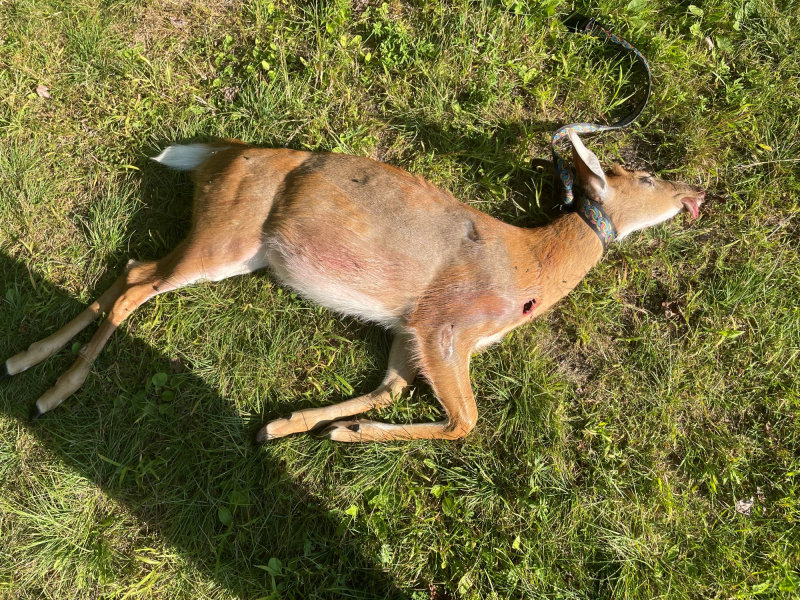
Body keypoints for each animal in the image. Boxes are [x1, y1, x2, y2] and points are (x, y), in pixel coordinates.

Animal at [3, 130, 708, 440]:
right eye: (645, 177)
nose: (695, 193)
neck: (530, 264)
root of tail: (216, 153)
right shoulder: (442, 322)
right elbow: (465, 421)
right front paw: (343, 433)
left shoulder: (408, 329)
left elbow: (388, 390)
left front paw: (294, 424)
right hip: (226, 236)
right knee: (134, 289)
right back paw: (55, 393)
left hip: (235, 249)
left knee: (131, 269)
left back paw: (24, 361)